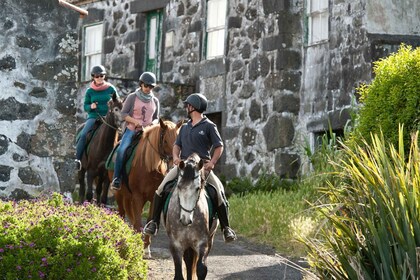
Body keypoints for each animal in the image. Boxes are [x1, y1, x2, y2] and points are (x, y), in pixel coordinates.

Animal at [111, 118, 182, 254]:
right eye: (165, 141)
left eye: (177, 140)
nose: (174, 163)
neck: (150, 168)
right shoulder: (137, 197)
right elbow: (138, 223)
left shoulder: (153, 196)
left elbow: (148, 220)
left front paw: (145, 247)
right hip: (119, 194)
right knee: (122, 214)